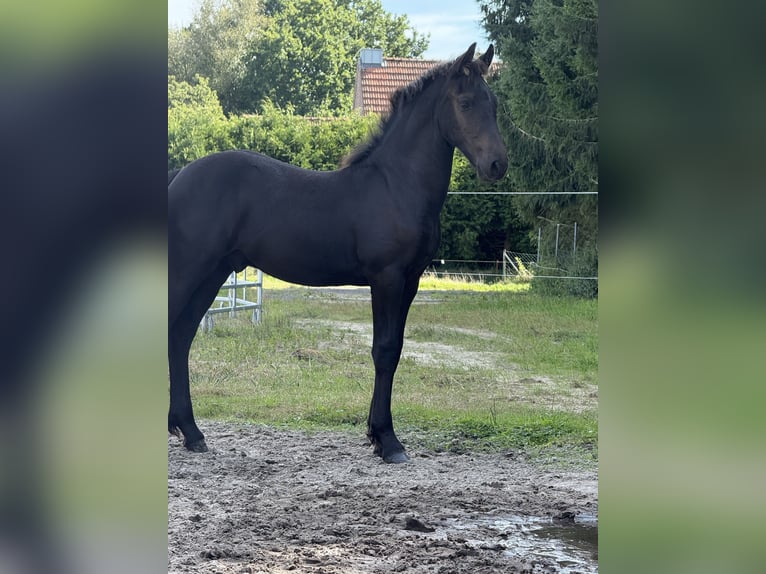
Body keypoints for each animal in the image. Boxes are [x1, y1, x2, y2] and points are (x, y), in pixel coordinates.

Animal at [168, 43, 508, 463]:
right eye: (465, 102)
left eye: (493, 103)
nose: (497, 164)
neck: (396, 186)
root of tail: (179, 176)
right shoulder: (387, 278)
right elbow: (384, 350)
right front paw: (388, 440)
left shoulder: (410, 281)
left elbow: (395, 351)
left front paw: (378, 436)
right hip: (187, 270)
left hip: (212, 273)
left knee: (181, 335)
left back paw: (190, 431)